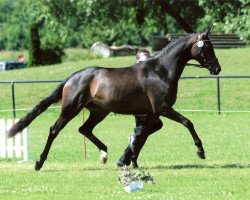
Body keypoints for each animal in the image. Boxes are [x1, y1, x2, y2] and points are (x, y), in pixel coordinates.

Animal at [8, 28, 222, 170]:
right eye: (207, 47)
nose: (217, 68)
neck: (161, 71)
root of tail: (72, 77)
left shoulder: (153, 113)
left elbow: (142, 133)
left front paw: (128, 160)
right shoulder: (162, 108)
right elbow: (188, 122)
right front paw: (200, 151)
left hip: (99, 111)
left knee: (84, 129)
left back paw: (104, 153)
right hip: (71, 108)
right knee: (54, 130)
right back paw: (39, 163)